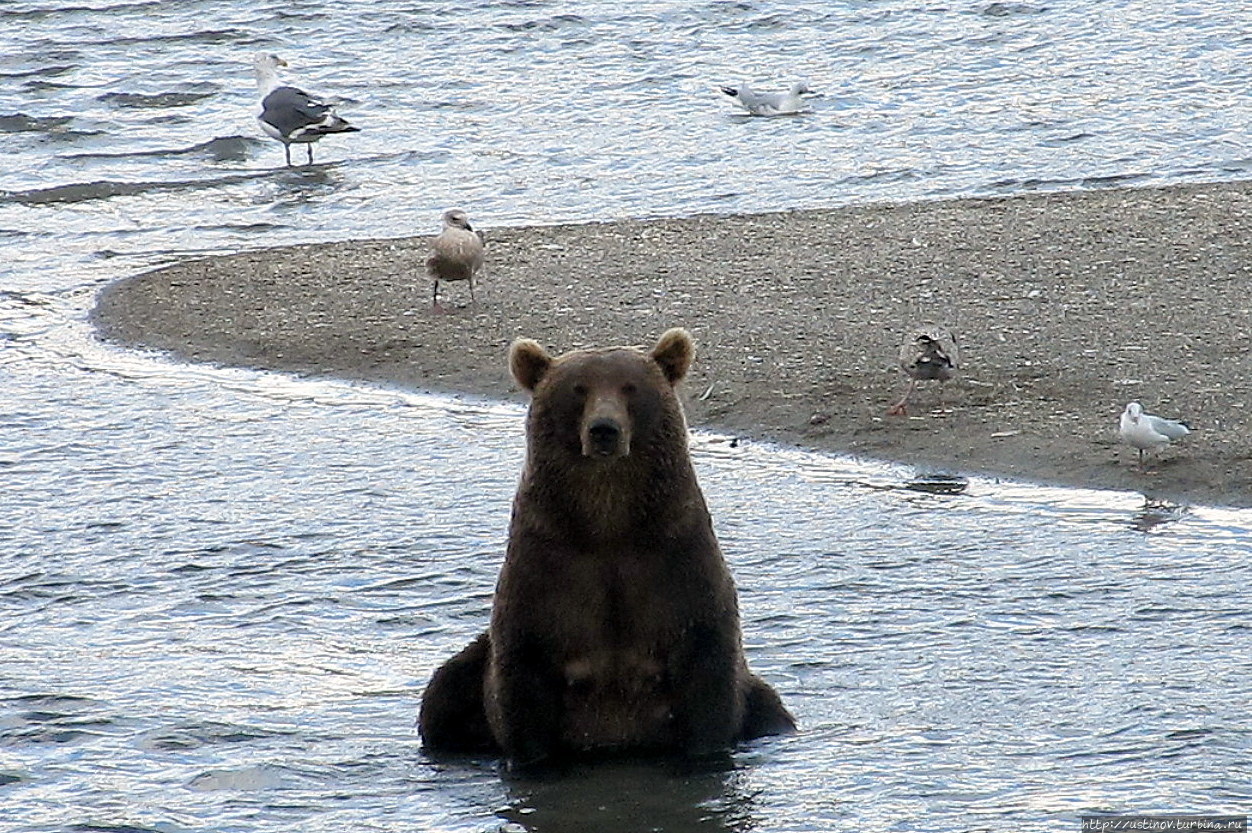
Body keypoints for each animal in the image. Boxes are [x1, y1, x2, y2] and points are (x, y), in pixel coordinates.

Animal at [420, 330, 791, 766]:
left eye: (630, 387)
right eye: (578, 389)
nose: (604, 429)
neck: (608, 525)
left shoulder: (677, 568)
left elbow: (707, 681)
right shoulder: (545, 576)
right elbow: (523, 688)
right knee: (441, 696)